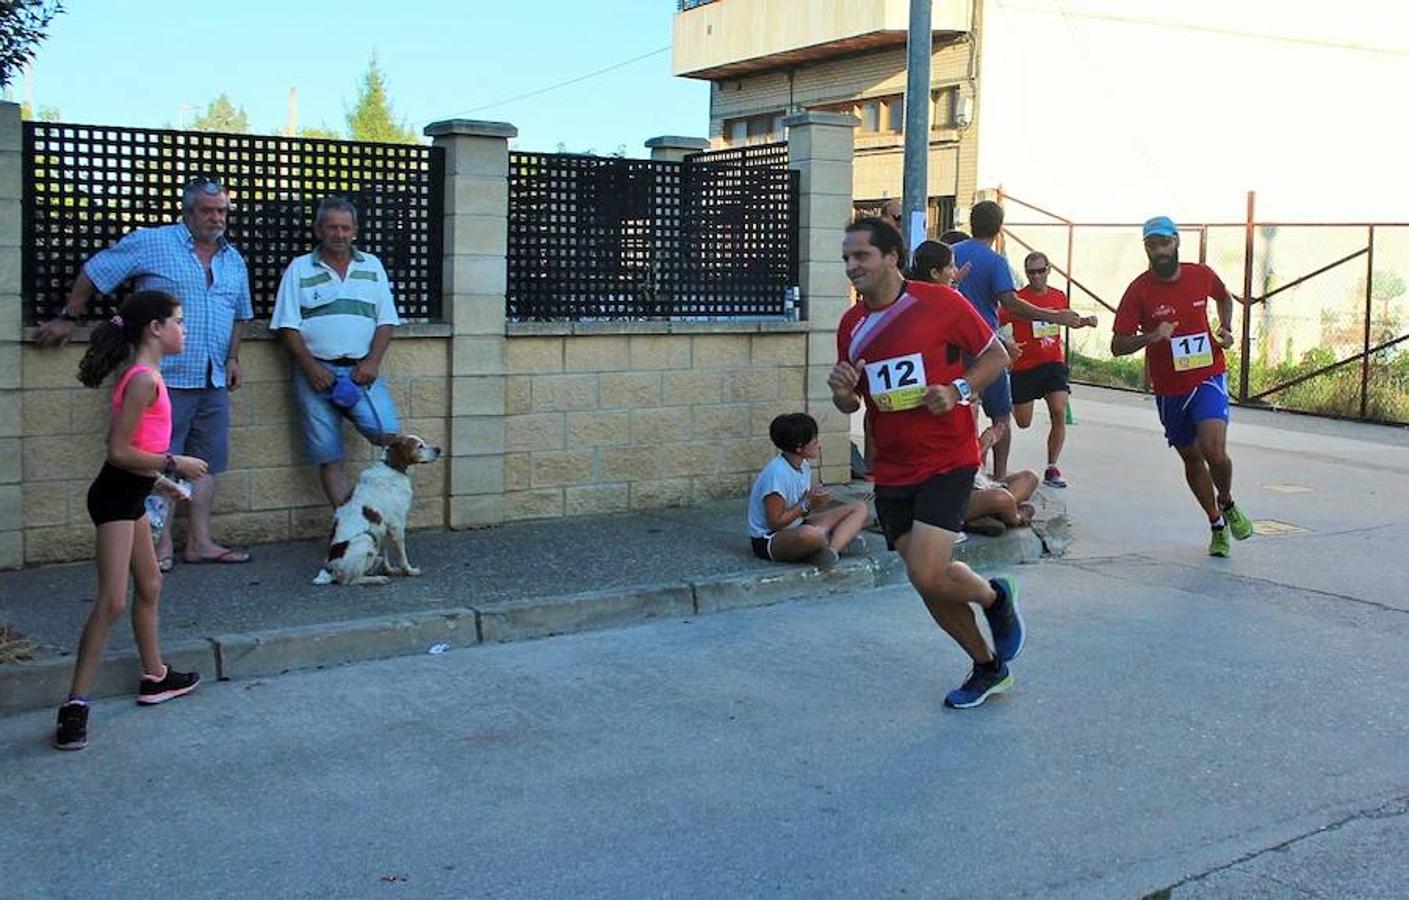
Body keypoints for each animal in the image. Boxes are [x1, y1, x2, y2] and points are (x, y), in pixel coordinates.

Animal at [314, 433, 439, 588]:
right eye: (419, 446)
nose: (439, 450)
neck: (391, 467)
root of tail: (329, 570)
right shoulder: (397, 525)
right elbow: (402, 555)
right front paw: (409, 571)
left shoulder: (383, 527)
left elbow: (385, 553)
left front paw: (389, 570)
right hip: (366, 538)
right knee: (349, 580)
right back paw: (376, 579)